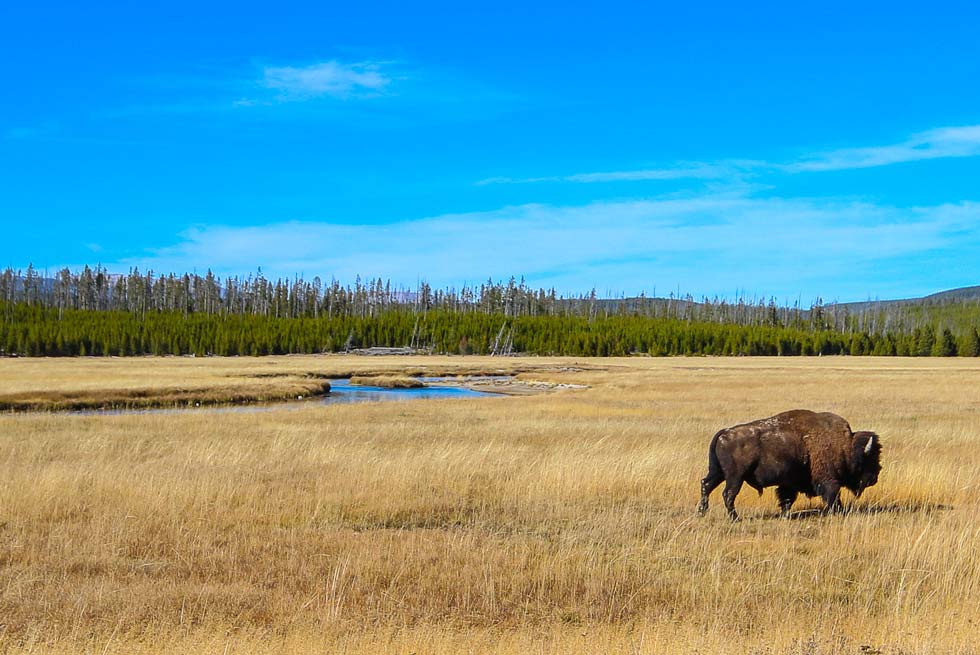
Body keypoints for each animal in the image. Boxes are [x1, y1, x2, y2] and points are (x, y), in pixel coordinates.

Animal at [696, 409, 881, 520]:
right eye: (869, 459)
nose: (874, 478)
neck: (845, 446)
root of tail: (724, 433)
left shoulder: (789, 483)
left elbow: (786, 498)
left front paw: (785, 514)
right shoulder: (828, 480)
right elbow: (832, 495)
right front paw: (838, 511)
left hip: (718, 472)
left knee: (706, 485)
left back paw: (701, 512)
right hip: (735, 477)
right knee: (728, 494)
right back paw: (735, 518)